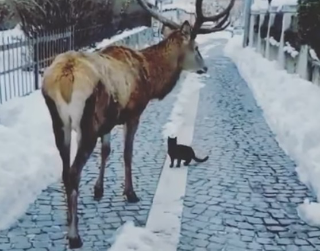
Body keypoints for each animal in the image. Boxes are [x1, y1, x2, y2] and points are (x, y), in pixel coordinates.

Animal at [40, 0, 235, 248]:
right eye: (197, 47)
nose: (205, 68)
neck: (150, 78)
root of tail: (65, 77)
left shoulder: (108, 122)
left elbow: (106, 151)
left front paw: (98, 190)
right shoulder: (133, 113)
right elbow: (127, 153)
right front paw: (130, 193)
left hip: (60, 124)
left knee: (65, 171)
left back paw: (68, 217)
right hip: (87, 125)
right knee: (73, 172)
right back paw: (75, 236)